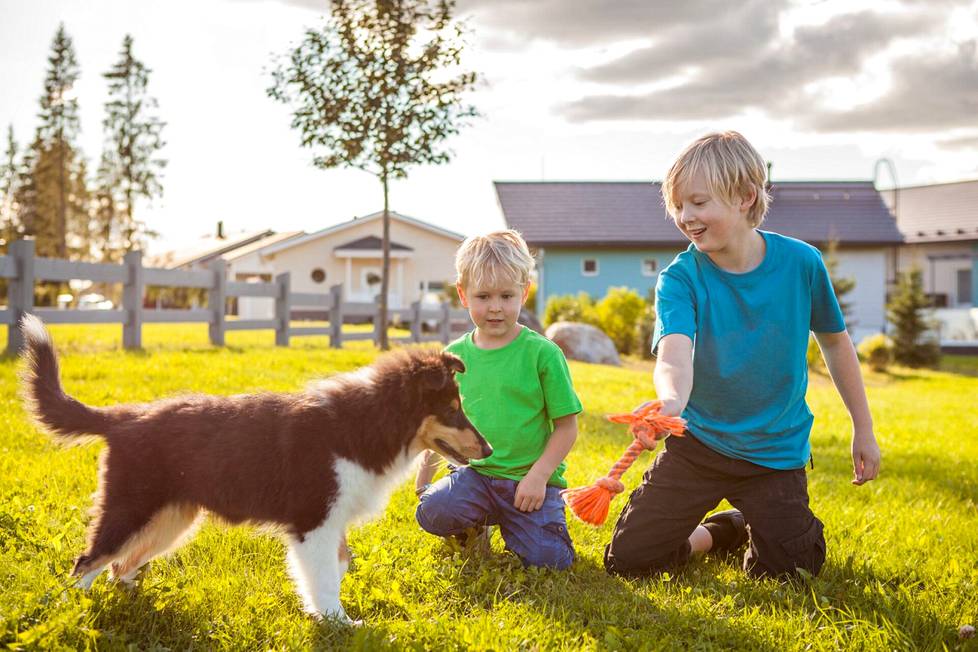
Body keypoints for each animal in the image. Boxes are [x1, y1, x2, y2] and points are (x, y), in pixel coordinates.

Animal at [15, 318, 488, 624]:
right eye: (452, 409)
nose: (488, 449)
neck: (368, 420)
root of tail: (123, 417)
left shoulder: (332, 522)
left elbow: (338, 566)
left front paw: (323, 615)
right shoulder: (313, 521)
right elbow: (325, 577)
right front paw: (341, 624)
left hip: (171, 519)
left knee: (118, 565)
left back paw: (132, 600)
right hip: (130, 507)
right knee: (86, 562)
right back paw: (71, 614)